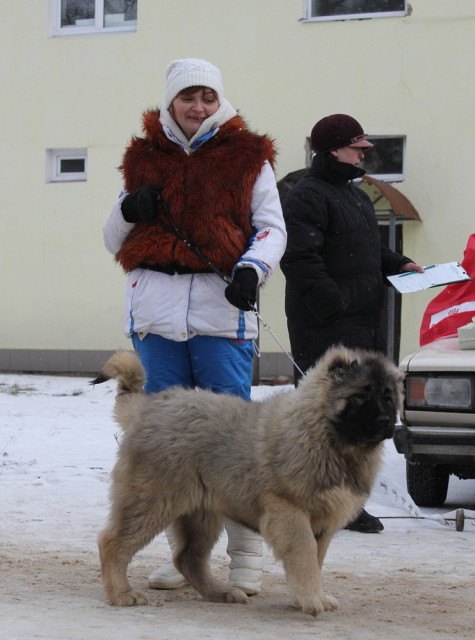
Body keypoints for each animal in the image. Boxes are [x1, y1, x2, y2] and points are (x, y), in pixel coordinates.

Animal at [94, 348, 406, 616]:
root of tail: (146, 408)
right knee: (113, 542)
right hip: (152, 499)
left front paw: (309, 597)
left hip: (201, 513)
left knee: (188, 557)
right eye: (361, 395)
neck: (327, 436)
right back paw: (121, 594)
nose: (385, 421)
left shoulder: (323, 524)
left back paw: (221, 593)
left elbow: (315, 560)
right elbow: (304, 556)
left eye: (388, 396)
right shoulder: (291, 512)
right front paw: (311, 598)